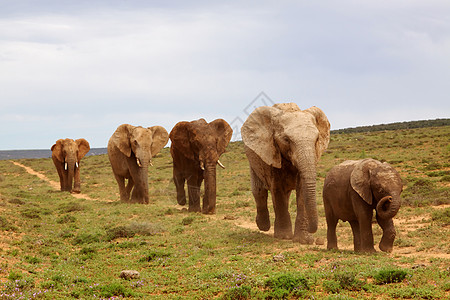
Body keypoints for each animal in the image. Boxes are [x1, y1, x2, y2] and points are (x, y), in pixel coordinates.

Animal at [243, 103, 330, 244]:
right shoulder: (271, 152)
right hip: (253, 159)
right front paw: (284, 237)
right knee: (259, 191)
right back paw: (263, 226)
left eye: (317, 139)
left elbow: (302, 190)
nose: (313, 232)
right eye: (286, 139)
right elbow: (277, 189)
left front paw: (304, 240)